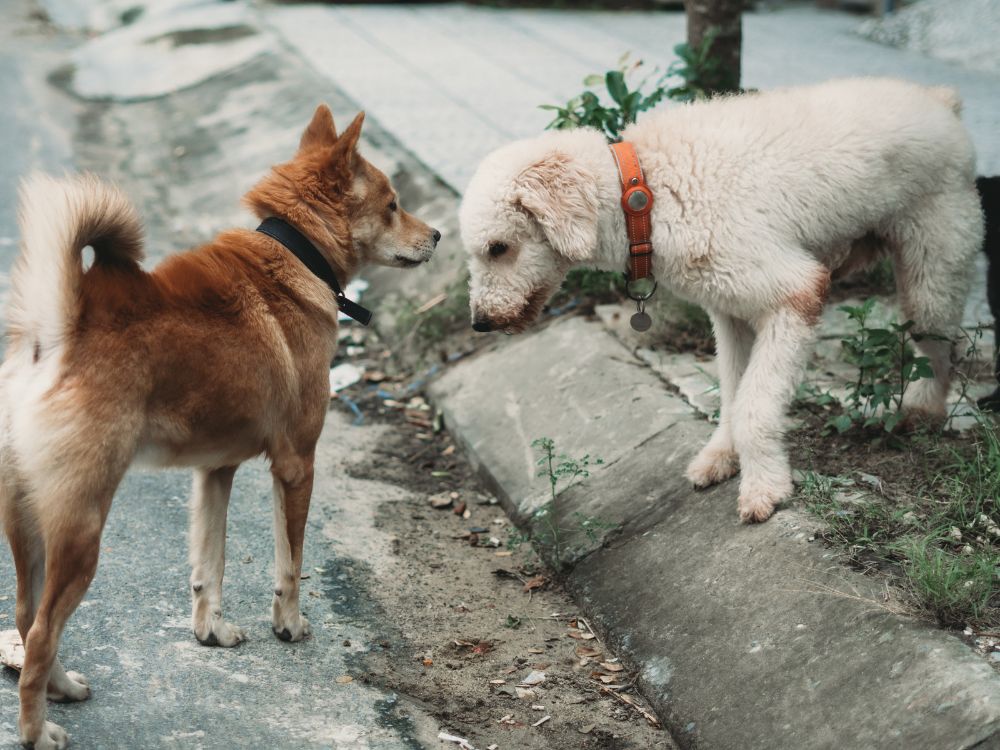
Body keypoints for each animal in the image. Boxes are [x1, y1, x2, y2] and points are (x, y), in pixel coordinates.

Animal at [0, 107, 438, 750]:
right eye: (392, 205)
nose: (437, 236)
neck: (295, 254)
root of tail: (59, 331)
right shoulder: (296, 465)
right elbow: (289, 562)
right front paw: (289, 624)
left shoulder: (215, 472)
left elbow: (211, 564)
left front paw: (213, 632)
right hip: (80, 530)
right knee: (38, 634)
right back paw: (38, 729)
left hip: (28, 524)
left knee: (28, 618)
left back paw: (61, 688)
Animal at [464, 76, 980, 524]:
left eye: (498, 248)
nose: (479, 323)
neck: (644, 194)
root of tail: (942, 101)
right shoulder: (732, 314)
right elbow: (732, 393)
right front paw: (720, 456)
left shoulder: (795, 294)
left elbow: (754, 405)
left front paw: (764, 487)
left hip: (933, 270)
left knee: (939, 351)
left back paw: (922, 410)